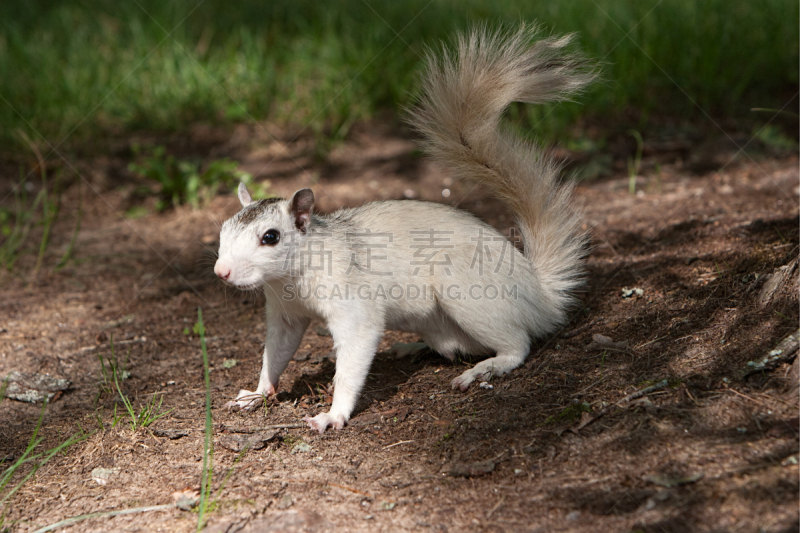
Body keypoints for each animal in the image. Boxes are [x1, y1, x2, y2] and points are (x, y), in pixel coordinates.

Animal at [212, 26, 592, 432]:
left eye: (271, 237)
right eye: (222, 232)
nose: (222, 272)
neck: (293, 275)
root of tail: (540, 295)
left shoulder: (353, 303)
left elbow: (354, 352)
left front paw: (333, 413)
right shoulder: (285, 313)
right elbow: (276, 353)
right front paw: (257, 393)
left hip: (470, 292)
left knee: (517, 344)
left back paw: (486, 368)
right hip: (444, 327)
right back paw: (415, 347)